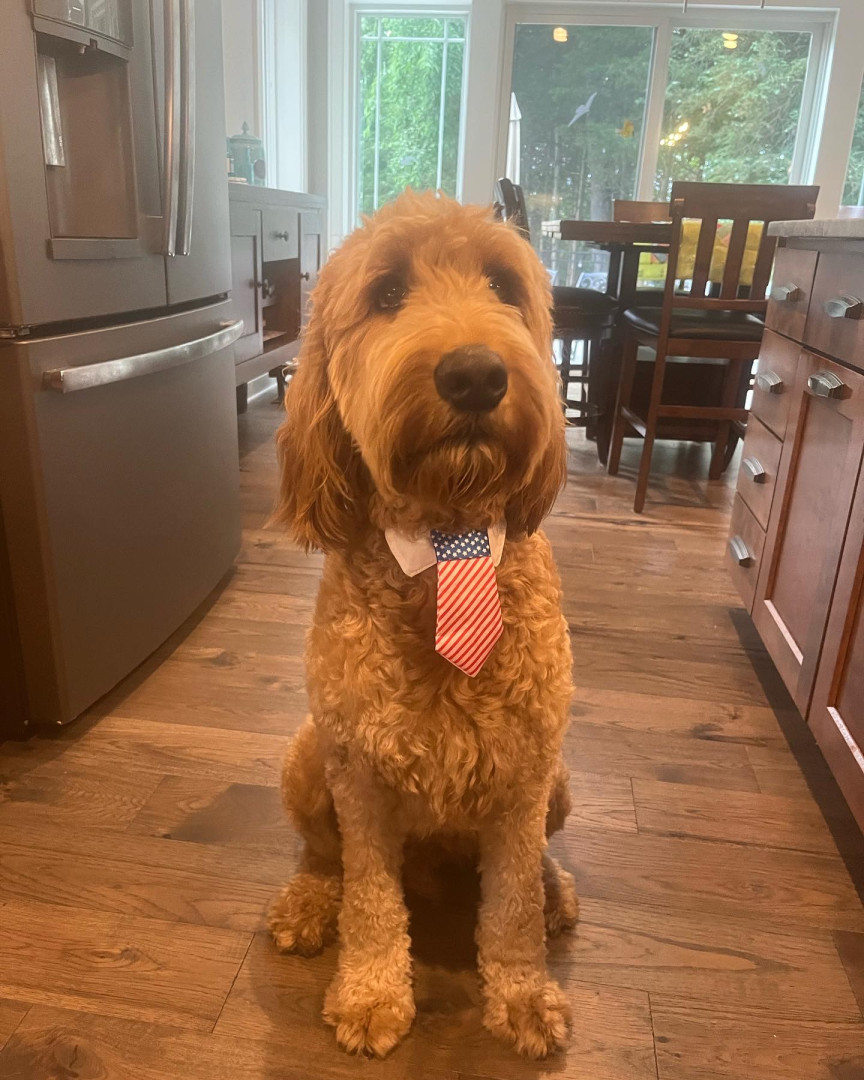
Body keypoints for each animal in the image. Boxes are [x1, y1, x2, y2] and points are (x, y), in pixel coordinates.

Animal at [267, 190, 576, 1059]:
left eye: (505, 286)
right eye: (386, 294)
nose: (475, 374)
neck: (447, 543)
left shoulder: (525, 776)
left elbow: (510, 905)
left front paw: (523, 993)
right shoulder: (361, 778)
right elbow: (371, 897)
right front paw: (372, 994)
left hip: (560, 783)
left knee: (537, 861)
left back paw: (556, 889)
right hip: (307, 757)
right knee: (324, 855)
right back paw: (309, 902)